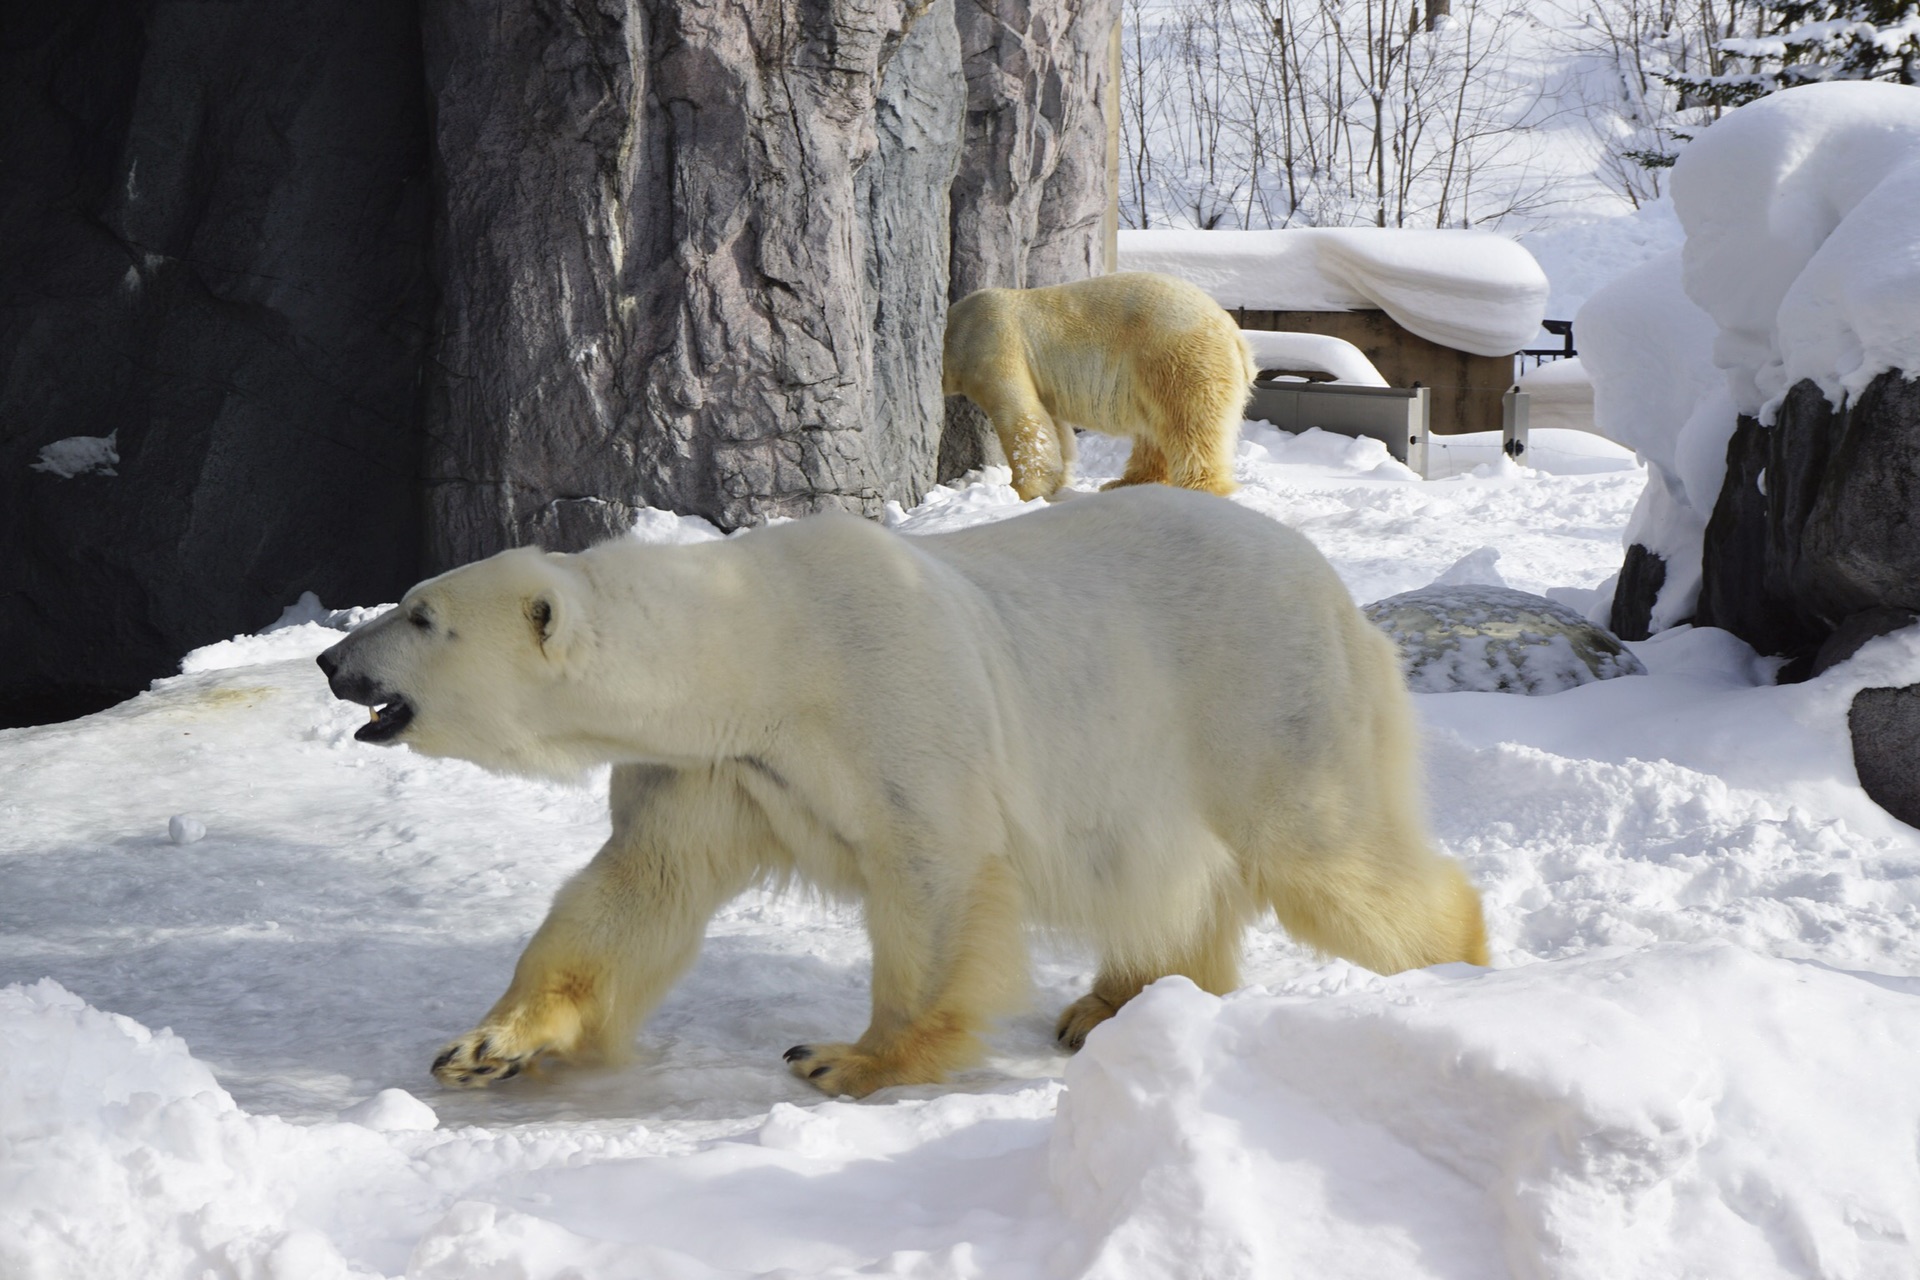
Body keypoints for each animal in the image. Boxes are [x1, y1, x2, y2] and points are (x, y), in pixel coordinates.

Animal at [318, 485, 1482, 1097]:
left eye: (420, 614)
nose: (332, 660)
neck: (760, 655)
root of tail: (1339, 593)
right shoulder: (721, 767)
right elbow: (632, 889)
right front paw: (487, 1045)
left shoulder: (888, 706)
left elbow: (935, 878)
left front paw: (844, 1055)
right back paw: (1112, 1003)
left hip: (1262, 698)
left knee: (1332, 858)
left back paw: (1461, 962)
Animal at [944, 270, 1259, 498]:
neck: (956, 330)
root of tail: (1235, 334)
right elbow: (1054, 427)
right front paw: (1056, 481)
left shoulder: (992, 346)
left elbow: (1022, 416)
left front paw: (1020, 491)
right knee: (1155, 428)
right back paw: (1127, 481)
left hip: (1177, 356)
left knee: (1190, 425)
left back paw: (1200, 489)